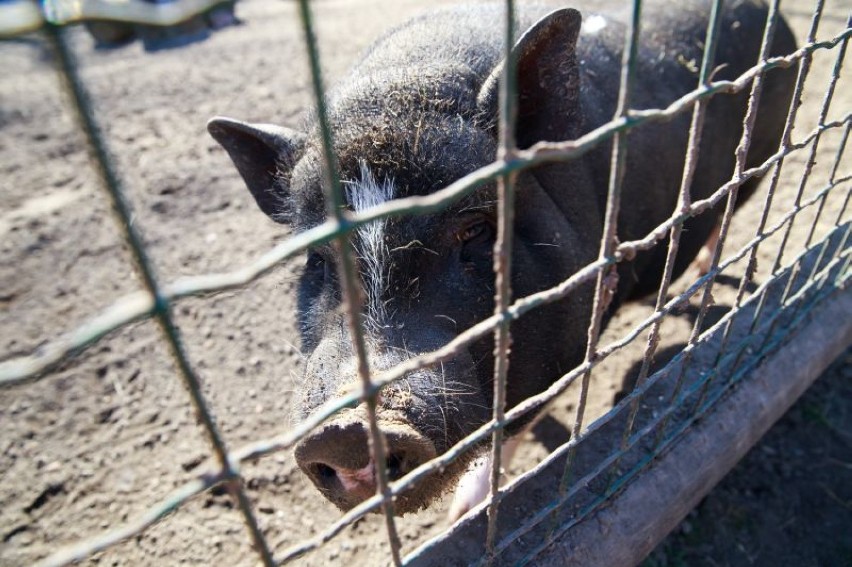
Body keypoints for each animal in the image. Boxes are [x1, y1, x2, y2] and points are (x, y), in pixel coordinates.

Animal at [210, 0, 796, 520]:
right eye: (315, 256)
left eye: (475, 228)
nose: (346, 431)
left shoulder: (579, 313)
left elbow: (517, 419)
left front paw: (464, 515)